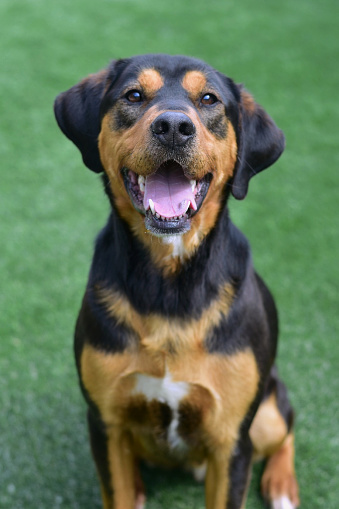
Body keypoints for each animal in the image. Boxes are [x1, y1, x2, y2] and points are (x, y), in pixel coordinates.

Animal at [53, 54, 300, 508]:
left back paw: (281, 485)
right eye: (134, 95)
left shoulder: (231, 438)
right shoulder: (106, 423)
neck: (167, 284)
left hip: (268, 410)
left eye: (209, 99)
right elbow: (116, 491)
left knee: (286, 429)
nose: (172, 126)